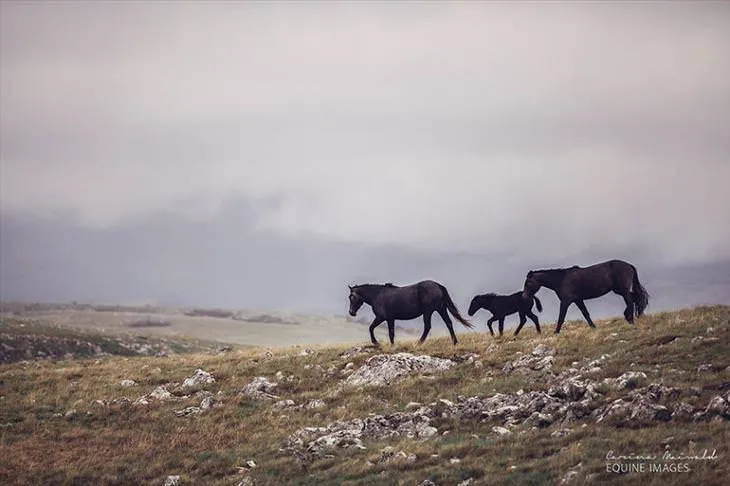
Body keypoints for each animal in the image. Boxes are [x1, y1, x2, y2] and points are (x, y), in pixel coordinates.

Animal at [521, 259, 649, 334]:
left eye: (528, 283)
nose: (524, 296)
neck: (561, 280)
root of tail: (629, 265)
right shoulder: (578, 300)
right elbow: (586, 314)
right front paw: (593, 327)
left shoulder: (566, 301)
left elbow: (561, 317)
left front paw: (556, 332)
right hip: (620, 290)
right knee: (634, 299)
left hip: (622, 290)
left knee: (631, 301)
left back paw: (630, 319)